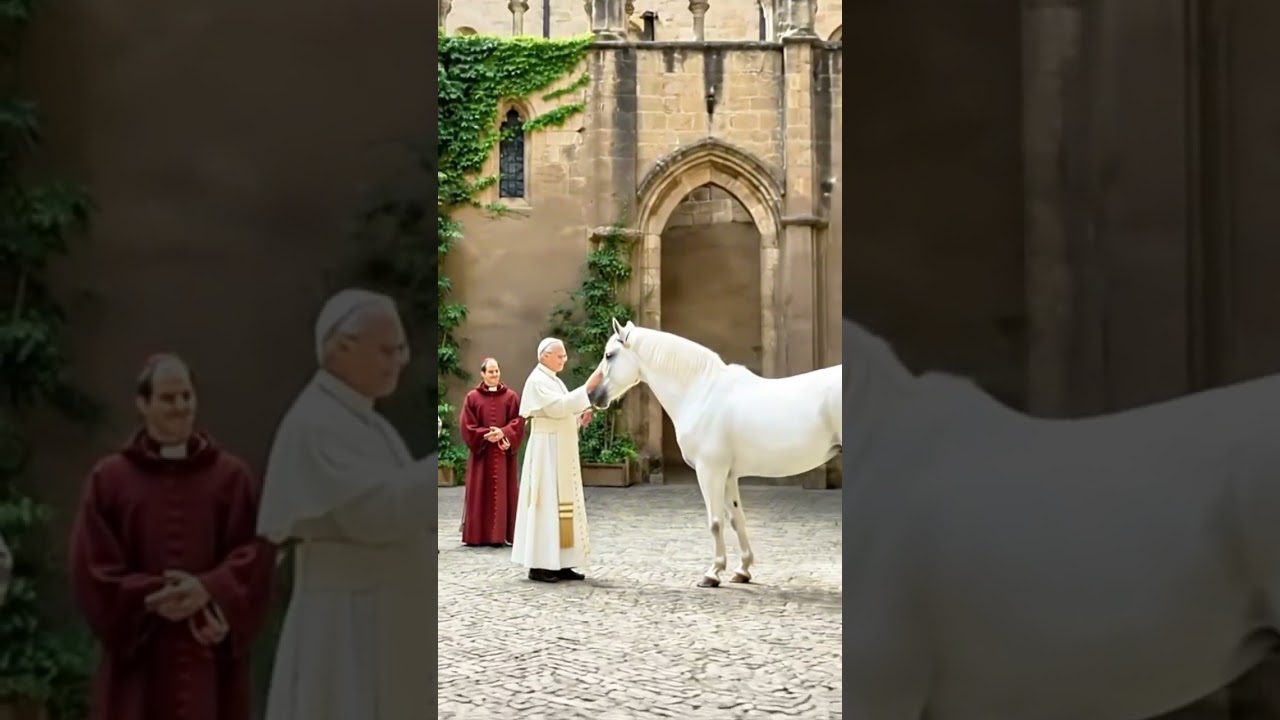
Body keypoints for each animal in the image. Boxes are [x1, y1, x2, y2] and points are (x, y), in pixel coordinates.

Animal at [587, 318, 842, 588]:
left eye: (609, 355)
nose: (591, 394)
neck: (701, 393)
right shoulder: (728, 475)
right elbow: (736, 520)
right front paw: (742, 570)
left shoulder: (709, 471)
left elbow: (715, 522)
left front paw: (712, 573)